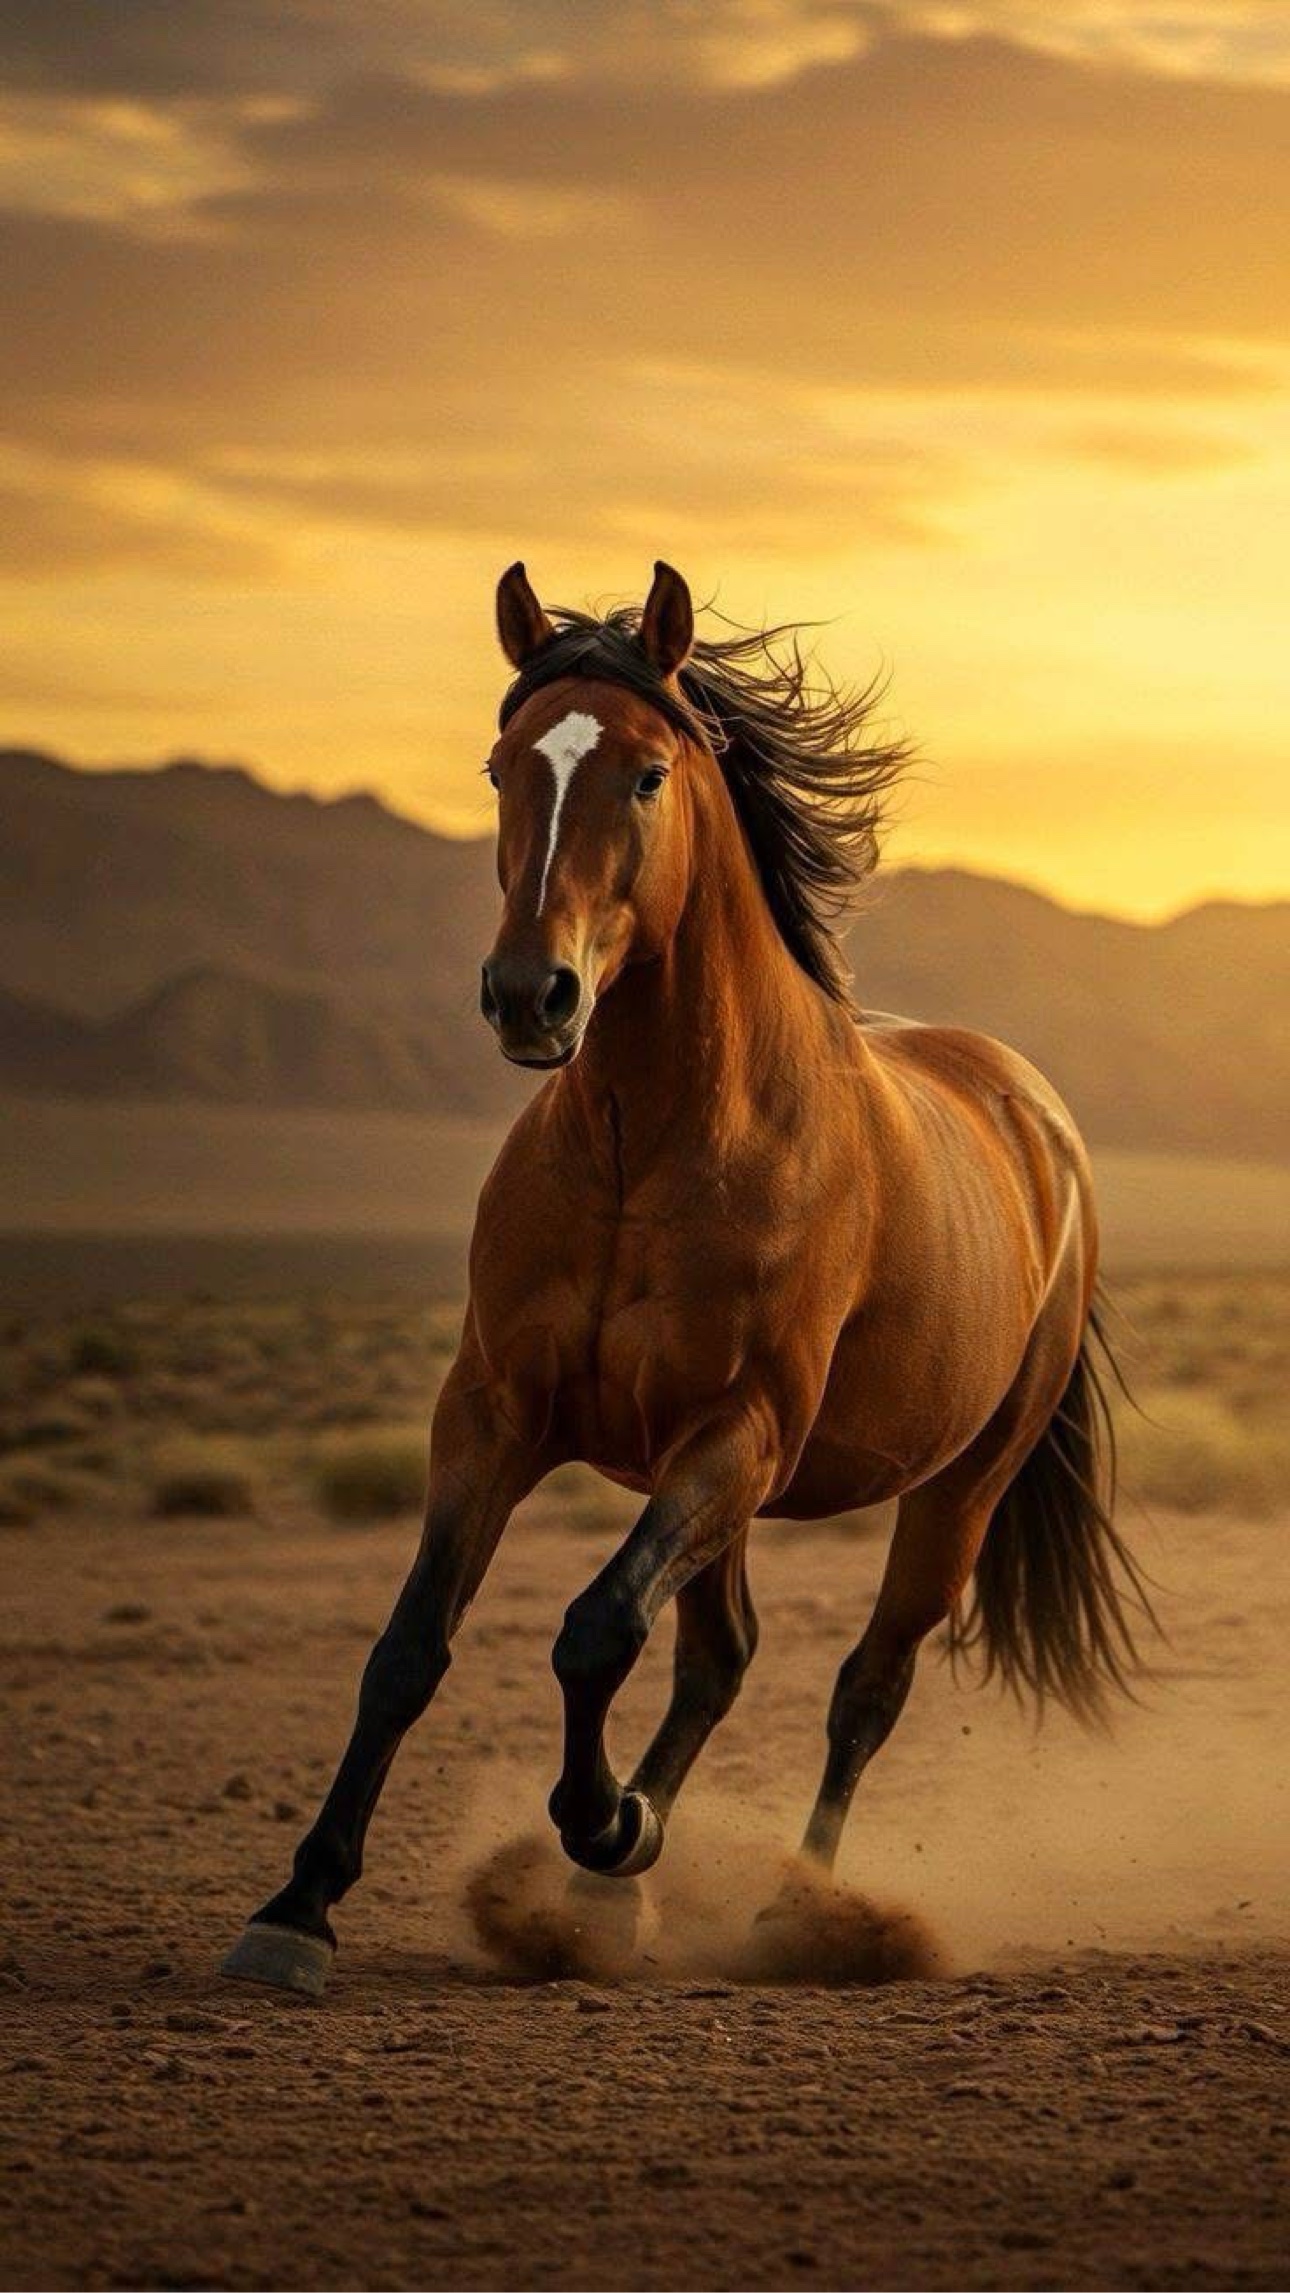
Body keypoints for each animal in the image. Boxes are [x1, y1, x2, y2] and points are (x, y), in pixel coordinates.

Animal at [222, 559, 1153, 1997]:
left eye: (649, 772)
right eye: (500, 765)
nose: (530, 996)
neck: (645, 1149)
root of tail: (1037, 1117)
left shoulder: (737, 1433)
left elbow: (596, 1626)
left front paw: (607, 1820)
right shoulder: (492, 1412)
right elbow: (409, 1647)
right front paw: (297, 1906)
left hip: (951, 1488)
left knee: (863, 1687)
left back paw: (785, 1908)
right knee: (721, 1658)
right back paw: (613, 1891)